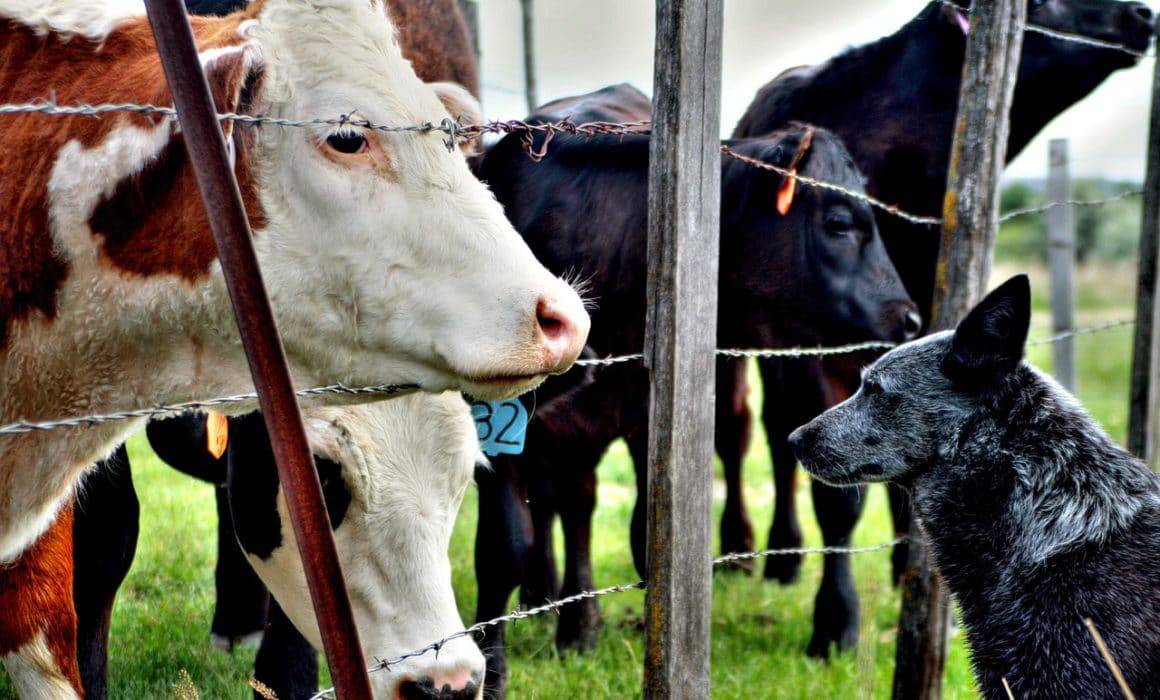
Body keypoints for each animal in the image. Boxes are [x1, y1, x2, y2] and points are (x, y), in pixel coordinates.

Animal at [468, 83, 919, 696]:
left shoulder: (641, 412)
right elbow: (503, 549)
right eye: (840, 221)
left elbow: (643, 537)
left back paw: (577, 625)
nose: (909, 319)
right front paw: (491, 670)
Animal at [724, 0, 1157, 657]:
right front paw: (836, 622)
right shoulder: (818, 349)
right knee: (761, 434)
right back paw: (776, 554)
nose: (1141, 17)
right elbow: (838, 493)